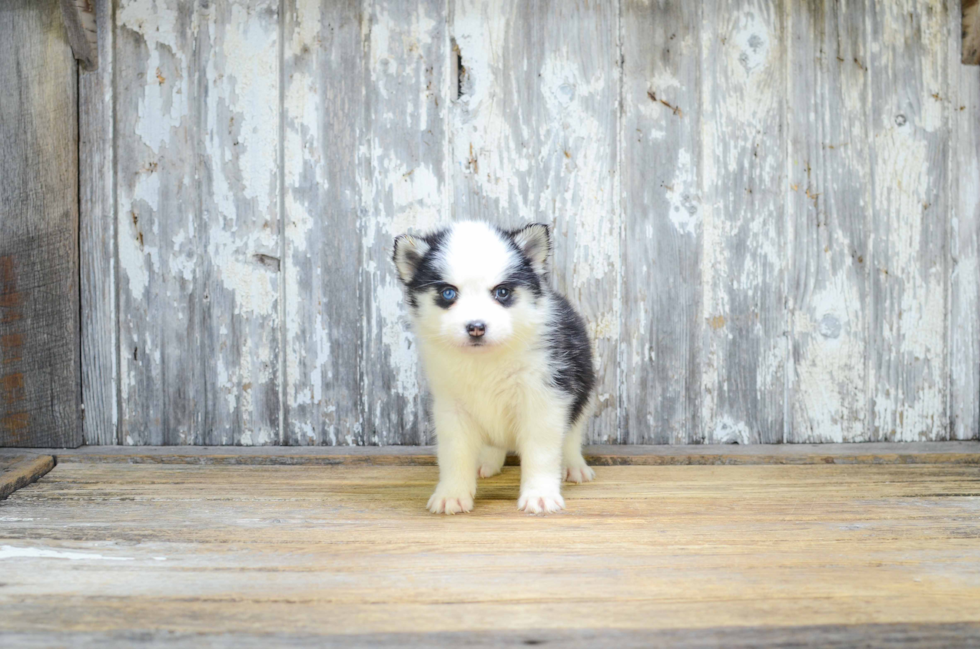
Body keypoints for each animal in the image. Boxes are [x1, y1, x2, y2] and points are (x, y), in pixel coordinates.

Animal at [392, 220, 592, 512]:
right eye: (448, 293)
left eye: (502, 292)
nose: (476, 327)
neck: (485, 361)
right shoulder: (451, 406)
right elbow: (454, 452)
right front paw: (452, 493)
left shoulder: (545, 399)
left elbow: (541, 452)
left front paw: (540, 494)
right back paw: (487, 461)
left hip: (582, 391)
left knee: (572, 435)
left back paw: (574, 466)